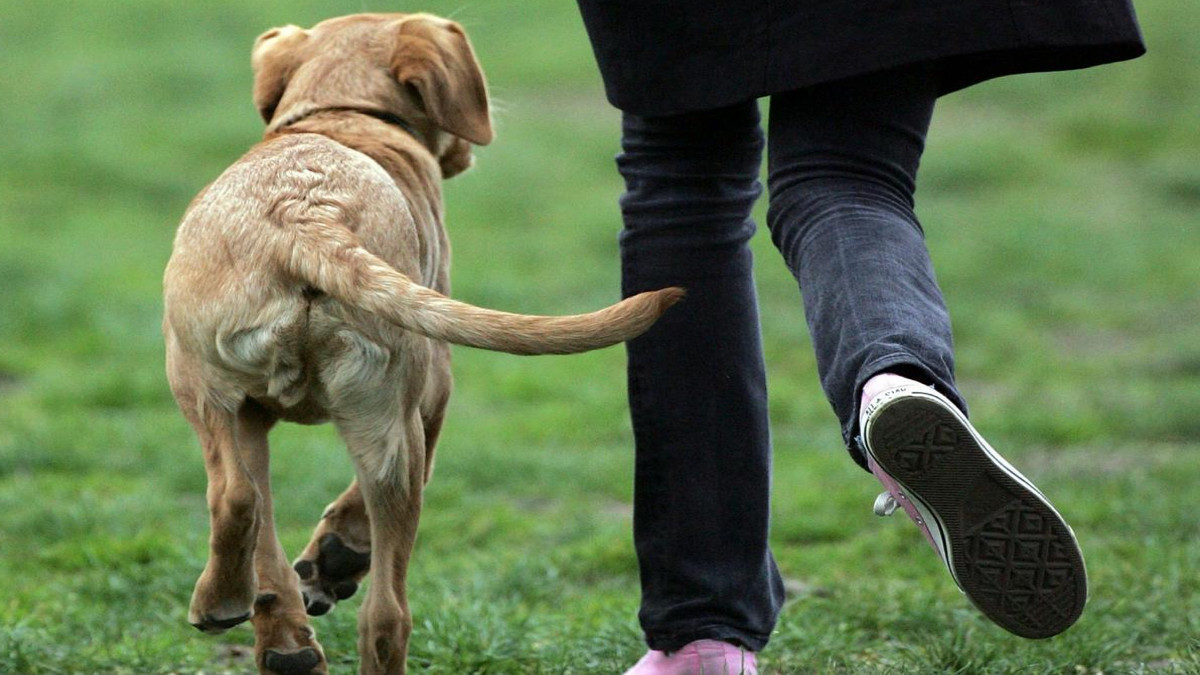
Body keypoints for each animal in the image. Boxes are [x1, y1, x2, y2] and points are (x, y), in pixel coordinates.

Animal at [163, 11, 681, 672]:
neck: (344, 112)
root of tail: (305, 215)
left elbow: (269, 538)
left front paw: (304, 600)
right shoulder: (433, 398)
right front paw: (332, 562)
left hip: (220, 393)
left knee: (244, 505)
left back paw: (247, 619)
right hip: (366, 407)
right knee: (381, 607)